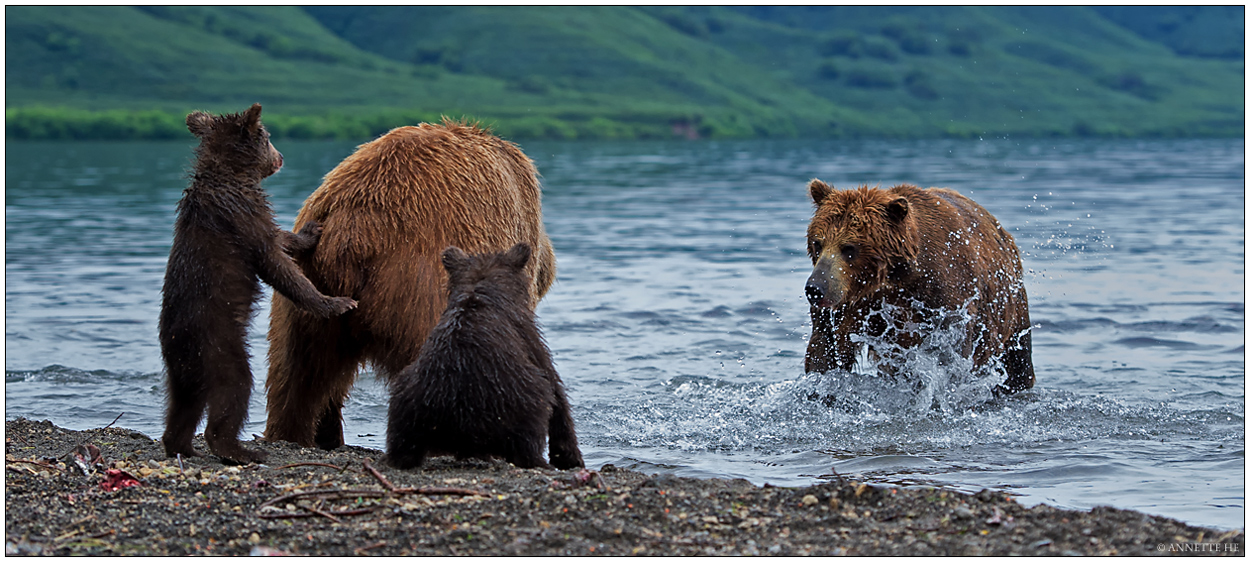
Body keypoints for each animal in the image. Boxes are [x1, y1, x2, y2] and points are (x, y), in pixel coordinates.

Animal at [158, 103, 357, 462]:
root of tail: (178, 344)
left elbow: (279, 239)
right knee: (233, 391)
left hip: (182, 369)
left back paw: (181, 446)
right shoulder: (242, 220)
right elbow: (277, 265)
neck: (231, 176)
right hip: (219, 347)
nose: (281, 156)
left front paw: (310, 230)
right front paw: (337, 302)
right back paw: (241, 450)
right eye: (267, 137)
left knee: (182, 406)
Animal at [387, 244, 582, 469]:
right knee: (532, 424)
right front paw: (569, 456)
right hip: (517, 401)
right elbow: (554, 386)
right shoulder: (527, 336)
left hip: (407, 402)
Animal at [800, 182, 1035, 392]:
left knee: (1018, 359)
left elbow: (949, 353)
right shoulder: (851, 305)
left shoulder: (944, 295)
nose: (815, 288)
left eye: (849, 248)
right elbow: (826, 349)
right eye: (817, 243)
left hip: (1009, 308)